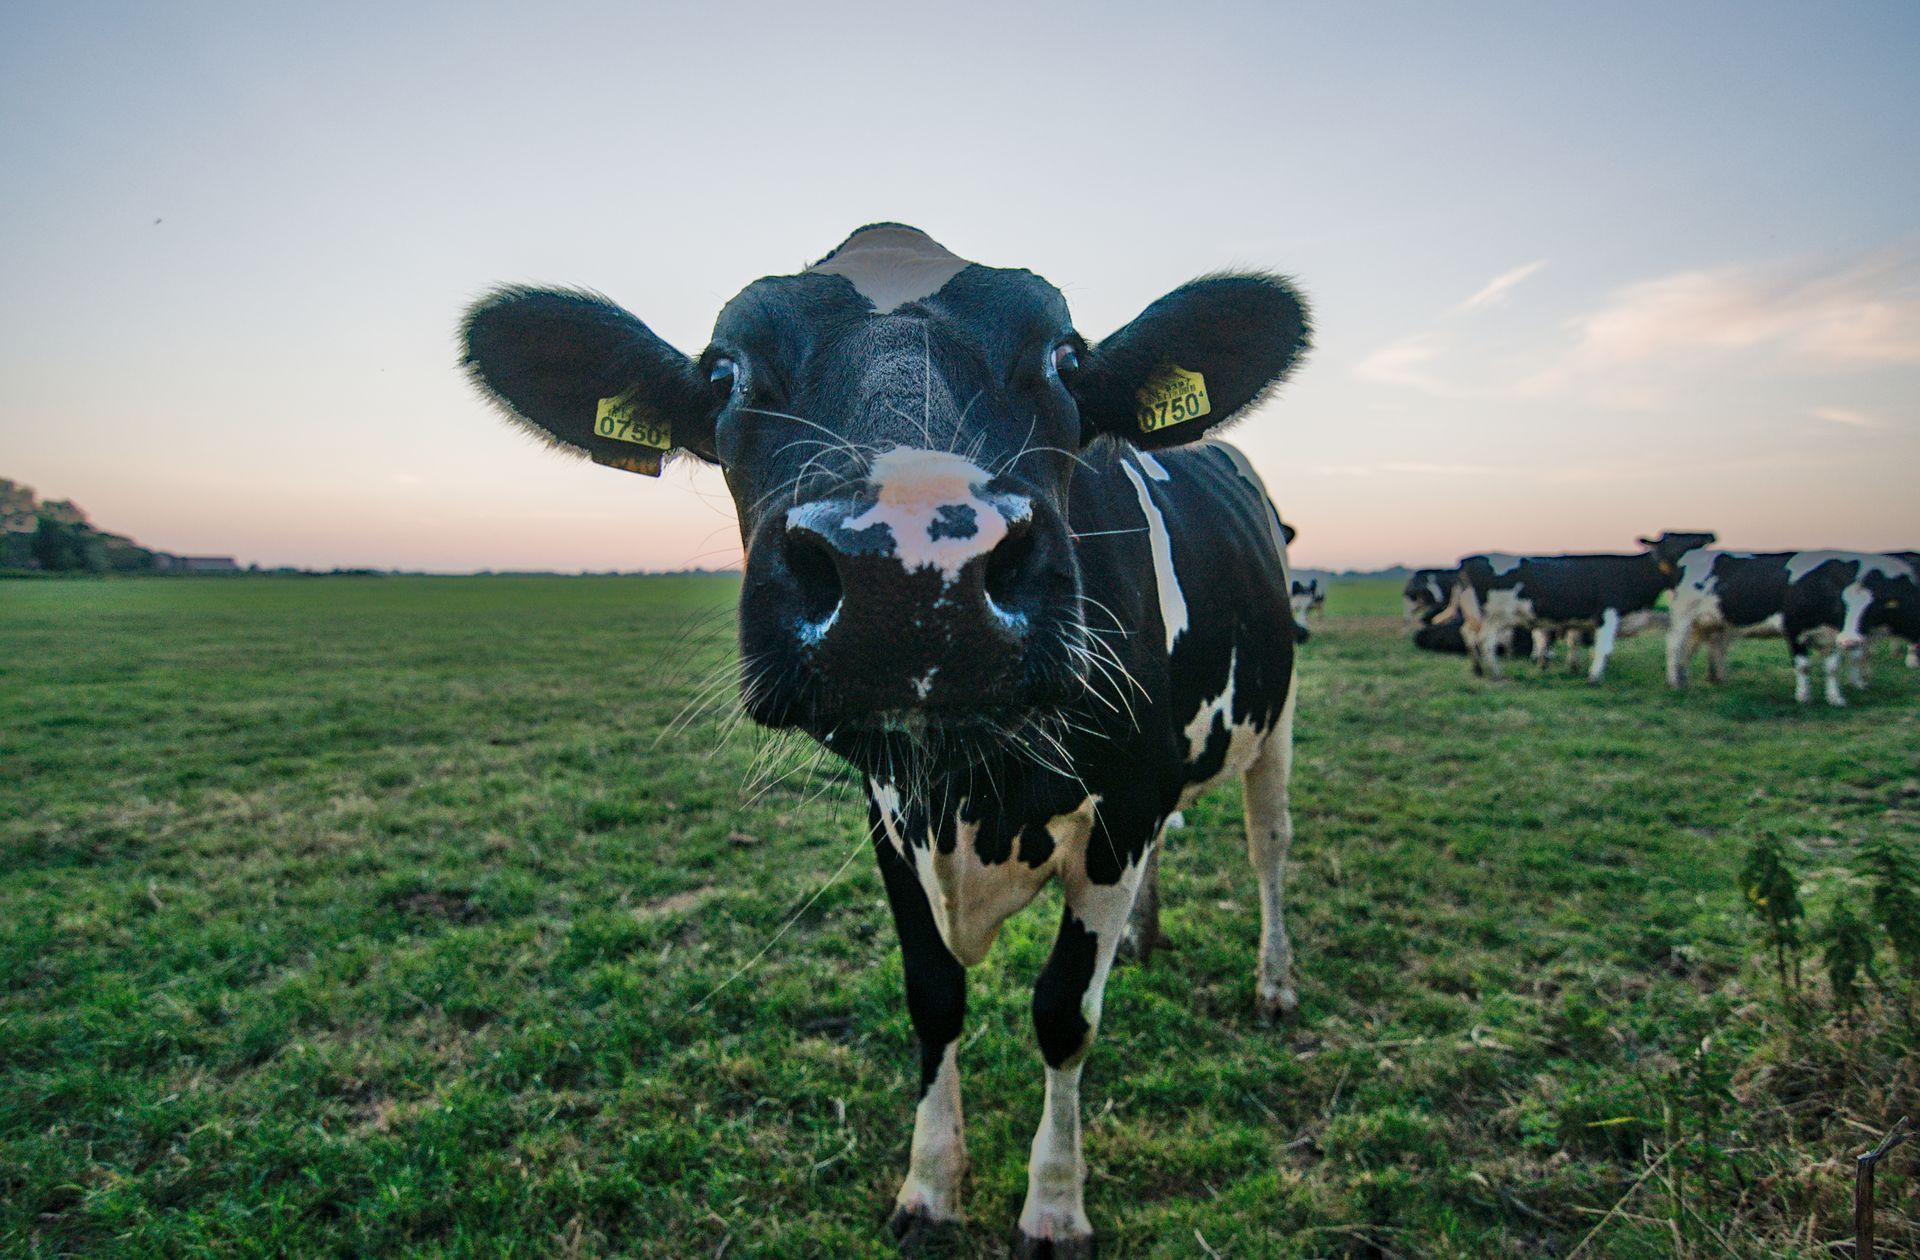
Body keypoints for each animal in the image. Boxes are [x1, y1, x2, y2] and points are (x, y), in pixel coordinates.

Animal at [459, 224, 1312, 1256]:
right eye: (725, 374)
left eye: (1066, 359)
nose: (910, 569)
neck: (975, 790)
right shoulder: (891, 817)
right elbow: (932, 995)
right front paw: (931, 1187)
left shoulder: (1125, 806)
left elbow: (1065, 1013)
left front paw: (1054, 1206)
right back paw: (1146, 942)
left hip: (1275, 720)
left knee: (1269, 849)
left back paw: (1274, 985)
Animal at [1446, 532, 1716, 681]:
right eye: (1677, 538)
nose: (1709, 534)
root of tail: (1468, 559)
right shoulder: (1609, 612)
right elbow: (1603, 648)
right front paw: (1595, 677)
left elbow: (1576, 641)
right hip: (1496, 616)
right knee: (1486, 641)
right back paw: (1496, 674)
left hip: (1474, 615)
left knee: (1467, 635)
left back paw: (1478, 669)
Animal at [1780, 552, 1920, 706]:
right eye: (1839, 606)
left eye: (1870, 610)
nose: (1849, 641)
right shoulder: (1794, 631)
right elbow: (1803, 666)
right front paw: (1803, 697)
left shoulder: (1836, 637)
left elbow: (1835, 667)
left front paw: (1836, 697)